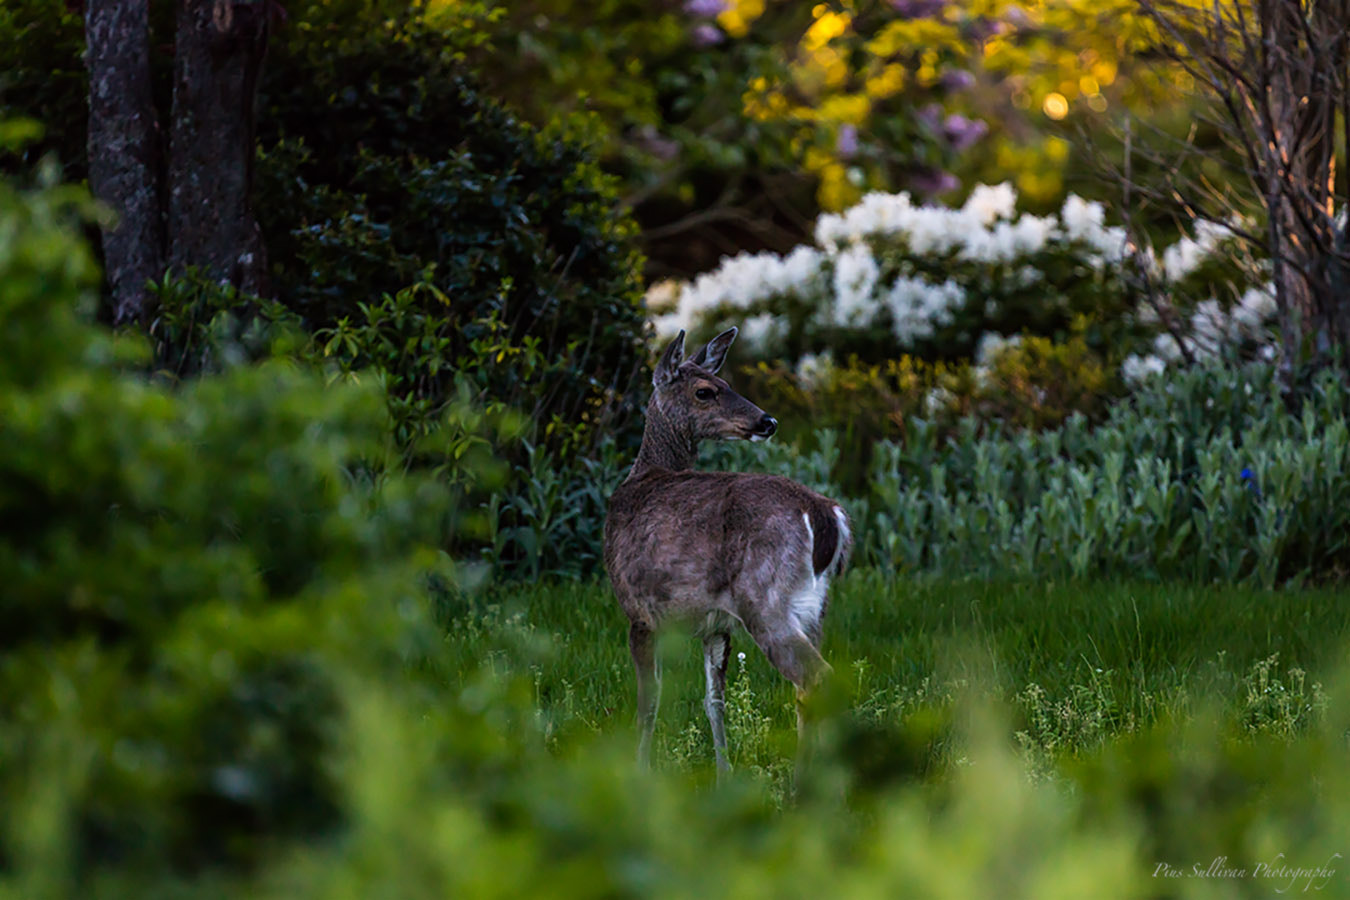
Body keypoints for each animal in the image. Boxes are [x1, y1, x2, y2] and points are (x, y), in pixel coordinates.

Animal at [607, 327, 847, 777]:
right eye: (706, 390)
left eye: (724, 383)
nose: (767, 421)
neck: (643, 475)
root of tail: (826, 515)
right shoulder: (716, 625)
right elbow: (713, 701)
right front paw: (724, 775)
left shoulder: (637, 609)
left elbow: (648, 701)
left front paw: (639, 772)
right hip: (814, 608)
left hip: (765, 598)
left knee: (817, 678)